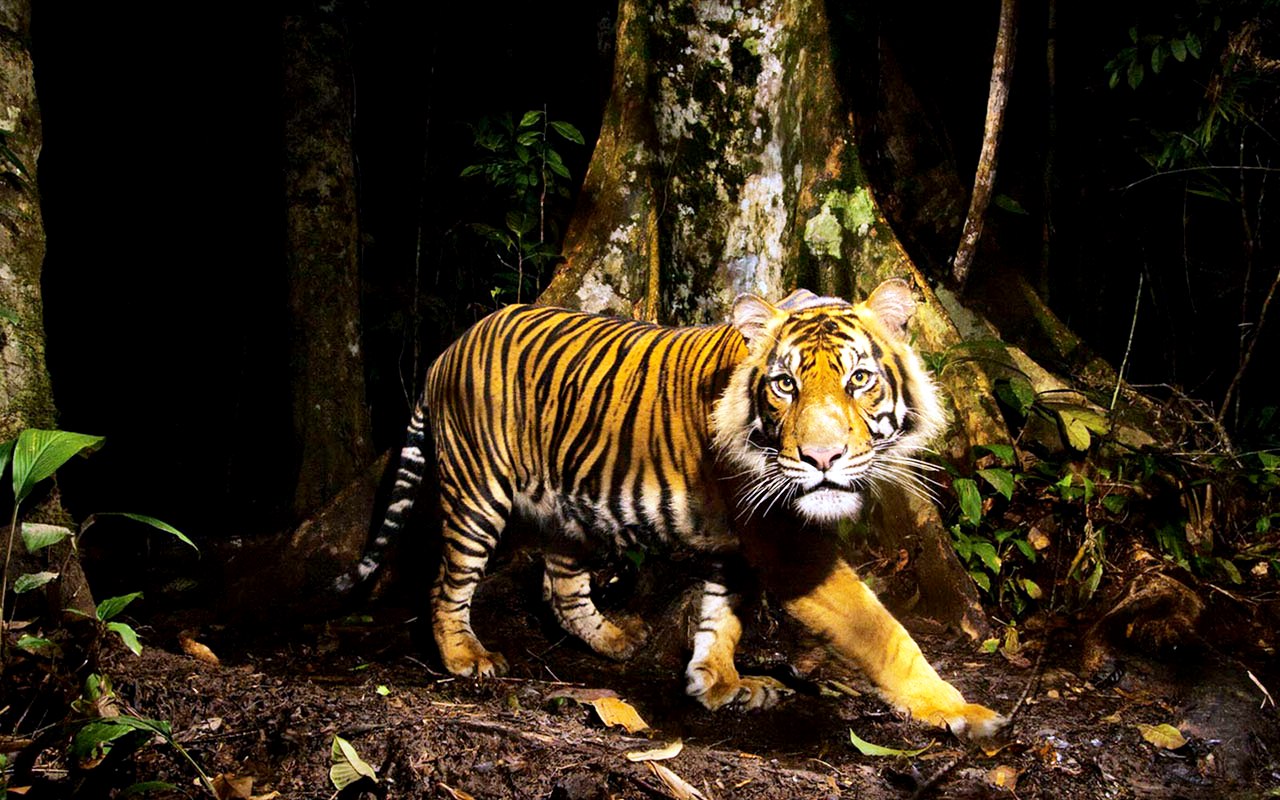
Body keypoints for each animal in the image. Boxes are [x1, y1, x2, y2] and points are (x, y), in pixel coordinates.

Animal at [345, 278, 1005, 737]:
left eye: (860, 380)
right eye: (784, 385)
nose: (822, 458)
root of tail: (447, 350)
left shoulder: (741, 542)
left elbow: (722, 617)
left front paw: (718, 684)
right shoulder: (787, 545)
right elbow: (882, 631)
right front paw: (959, 710)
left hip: (569, 508)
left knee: (561, 588)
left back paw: (617, 639)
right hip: (477, 493)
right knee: (448, 582)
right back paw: (466, 656)